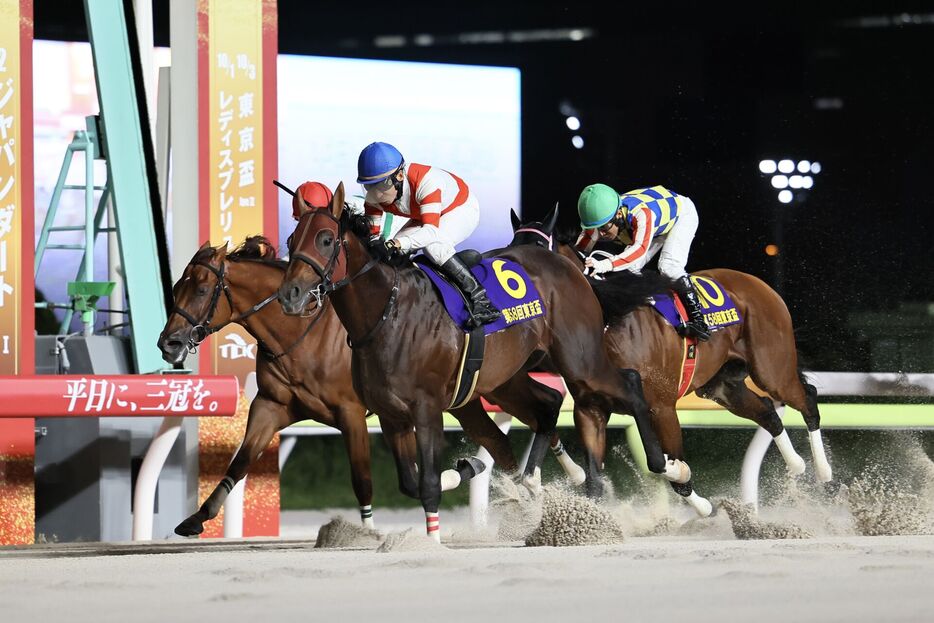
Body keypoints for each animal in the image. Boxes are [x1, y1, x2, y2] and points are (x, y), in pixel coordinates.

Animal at [276, 183, 664, 540]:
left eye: (326, 239)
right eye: (292, 239)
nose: (289, 295)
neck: (388, 314)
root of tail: (571, 268)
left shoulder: (426, 408)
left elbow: (428, 483)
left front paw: (433, 542)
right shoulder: (391, 415)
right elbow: (411, 482)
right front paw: (468, 468)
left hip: (580, 360)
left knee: (629, 383)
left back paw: (666, 466)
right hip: (505, 378)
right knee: (548, 404)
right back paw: (541, 483)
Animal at [512, 207, 832, 516]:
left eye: (537, 249)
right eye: (511, 246)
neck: (608, 322)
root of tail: (759, 284)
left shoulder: (661, 408)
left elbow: (664, 465)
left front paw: (698, 498)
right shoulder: (590, 410)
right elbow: (594, 481)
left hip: (771, 369)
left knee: (806, 398)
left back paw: (823, 471)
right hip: (722, 386)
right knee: (767, 411)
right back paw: (797, 464)